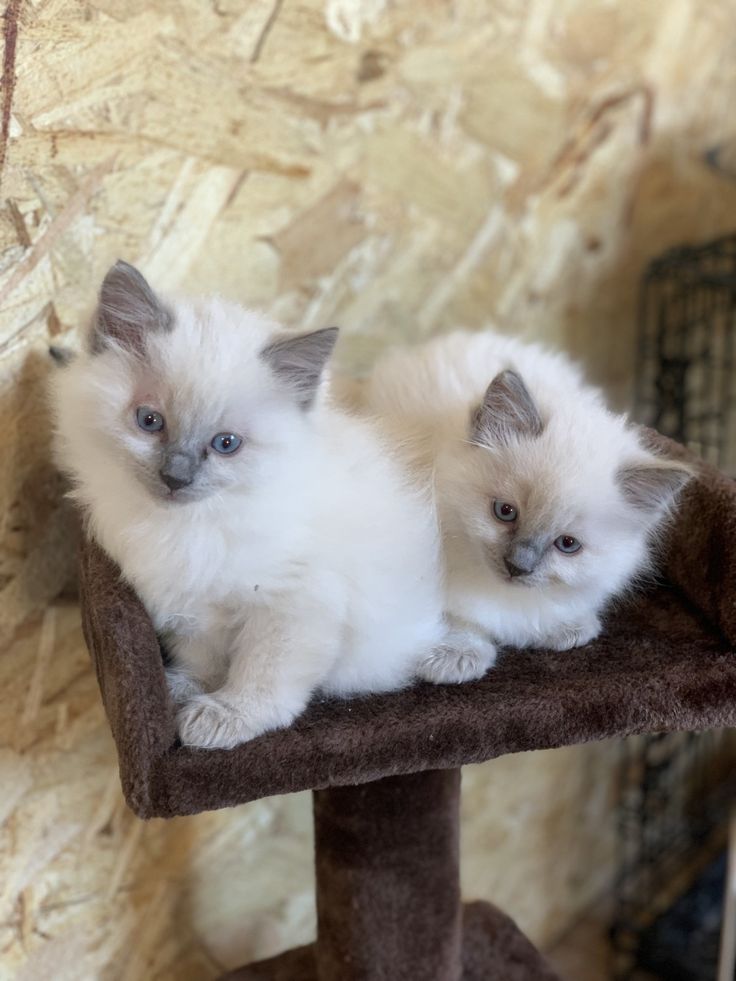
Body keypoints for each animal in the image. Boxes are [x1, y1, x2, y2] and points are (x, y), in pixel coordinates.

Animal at [51, 264, 446, 748]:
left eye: (226, 444)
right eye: (149, 421)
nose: (176, 478)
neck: (188, 528)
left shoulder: (292, 601)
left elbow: (262, 675)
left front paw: (221, 717)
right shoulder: (190, 606)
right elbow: (202, 661)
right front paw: (183, 690)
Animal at [366, 330, 692, 680]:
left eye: (567, 544)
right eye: (505, 512)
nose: (517, 567)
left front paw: (569, 628)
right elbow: (452, 619)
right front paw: (455, 655)